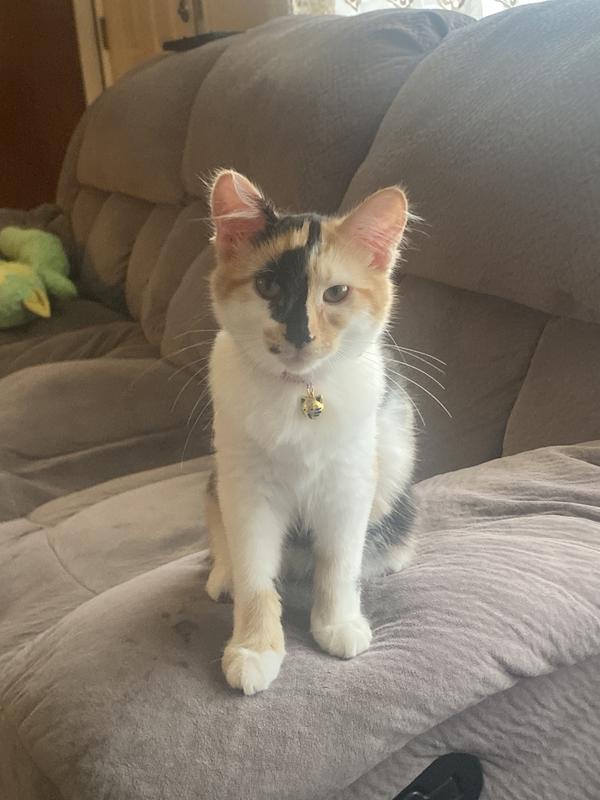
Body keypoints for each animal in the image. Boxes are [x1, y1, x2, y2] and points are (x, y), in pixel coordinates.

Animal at [204, 170, 416, 695]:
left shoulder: (351, 483)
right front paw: (254, 649)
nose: (300, 334)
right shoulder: (247, 489)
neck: (299, 397)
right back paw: (223, 575)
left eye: (336, 293)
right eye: (265, 286)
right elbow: (255, 575)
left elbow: (339, 564)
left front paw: (338, 623)